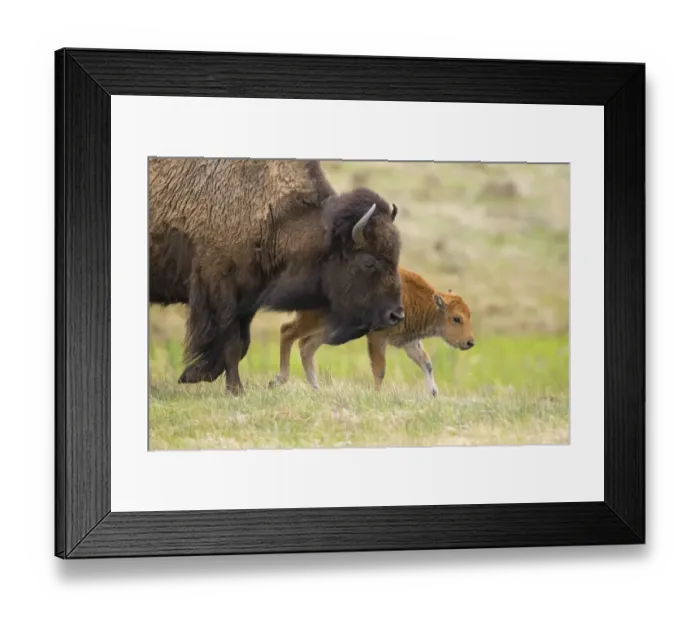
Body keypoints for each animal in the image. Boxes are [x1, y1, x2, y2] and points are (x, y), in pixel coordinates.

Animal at [149, 158, 405, 394]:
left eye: (396, 256)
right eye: (368, 261)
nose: (396, 315)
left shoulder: (247, 300)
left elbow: (241, 345)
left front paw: (195, 375)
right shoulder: (220, 291)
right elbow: (231, 344)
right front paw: (233, 389)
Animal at [269, 267, 475, 397]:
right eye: (456, 318)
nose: (470, 342)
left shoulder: (408, 341)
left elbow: (426, 362)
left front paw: (433, 393)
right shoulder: (378, 338)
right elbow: (380, 368)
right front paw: (376, 394)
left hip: (328, 331)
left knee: (306, 346)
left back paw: (315, 388)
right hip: (313, 322)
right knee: (287, 332)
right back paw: (279, 380)